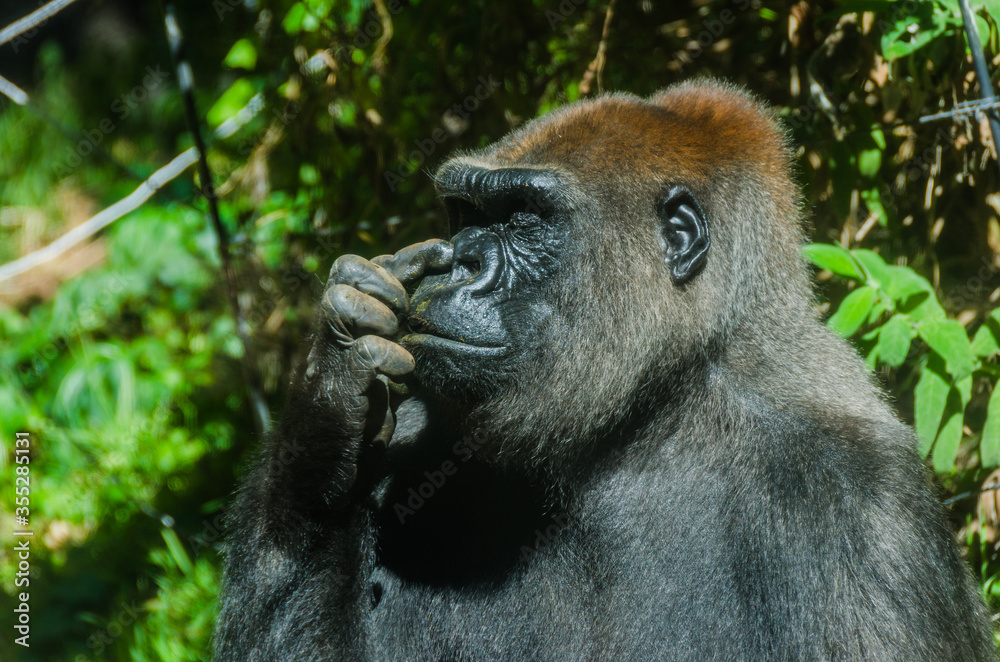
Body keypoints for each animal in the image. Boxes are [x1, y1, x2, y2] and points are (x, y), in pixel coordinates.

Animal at [214, 79, 996, 661]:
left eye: (524, 220)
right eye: (465, 215)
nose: (455, 263)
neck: (655, 407)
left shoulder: (873, 514)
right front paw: (330, 411)